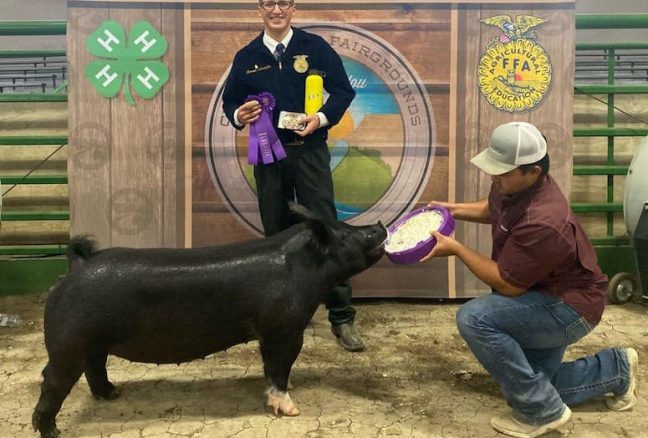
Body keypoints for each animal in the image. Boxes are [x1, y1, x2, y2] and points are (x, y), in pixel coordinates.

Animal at [31, 204, 384, 436]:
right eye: (346, 235)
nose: (379, 225)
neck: (301, 269)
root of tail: (74, 271)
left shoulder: (270, 334)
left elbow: (274, 367)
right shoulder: (282, 330)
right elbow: (278, 367)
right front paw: (292, 409)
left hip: (92, 343)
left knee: (95, 368)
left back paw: (112, 394)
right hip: (68, 343)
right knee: (52, 379)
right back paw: (51, 431)